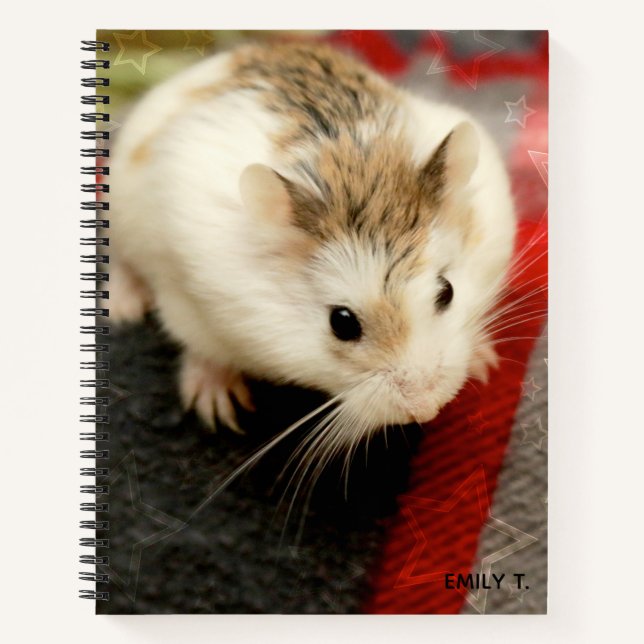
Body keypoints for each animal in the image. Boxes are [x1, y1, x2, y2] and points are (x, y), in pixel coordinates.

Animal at [109, 42, 515, 438]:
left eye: (447, 291)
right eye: (342, 323)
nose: (426, 410)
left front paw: (485, 363)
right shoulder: (186, 302)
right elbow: (203, 349)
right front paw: (218, 409)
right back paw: (122, 308)